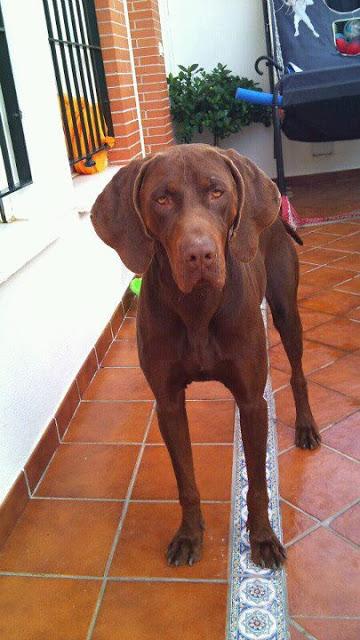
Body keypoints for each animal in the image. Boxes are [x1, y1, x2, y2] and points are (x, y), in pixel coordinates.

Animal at [90, 145, 320, 568]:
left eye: (216, 192)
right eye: (161, 199)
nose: (200, 254)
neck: (197, 307)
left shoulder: (251, 399)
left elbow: (258, 483)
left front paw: (262, 537)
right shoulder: (168, 403)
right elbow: (186, 481)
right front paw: (189, 535)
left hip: (285, 312)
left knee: (298, 373)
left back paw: (306, 427)